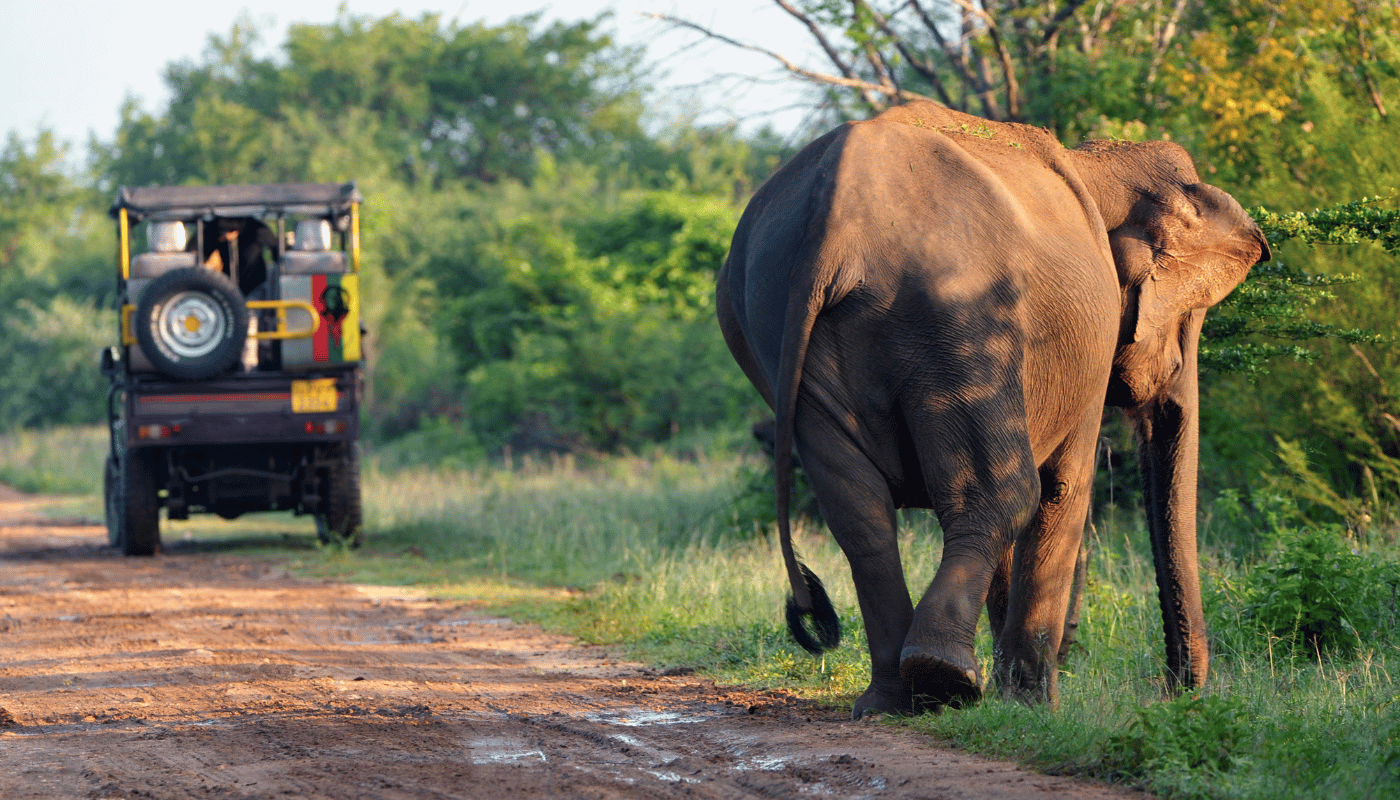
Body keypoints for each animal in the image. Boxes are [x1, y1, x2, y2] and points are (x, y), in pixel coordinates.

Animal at [716, 101, 1276, 717]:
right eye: (1189, 317)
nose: (1175, 692)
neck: (1097, 161)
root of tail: (831, 216)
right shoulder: (1091, 339)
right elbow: (1062, 489)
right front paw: (1033, 708)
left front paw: (1014, 701)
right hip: (957, 312)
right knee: (1005, 493)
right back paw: (944, 678)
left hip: (774, 325)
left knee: (861, 514)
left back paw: (893, 701)